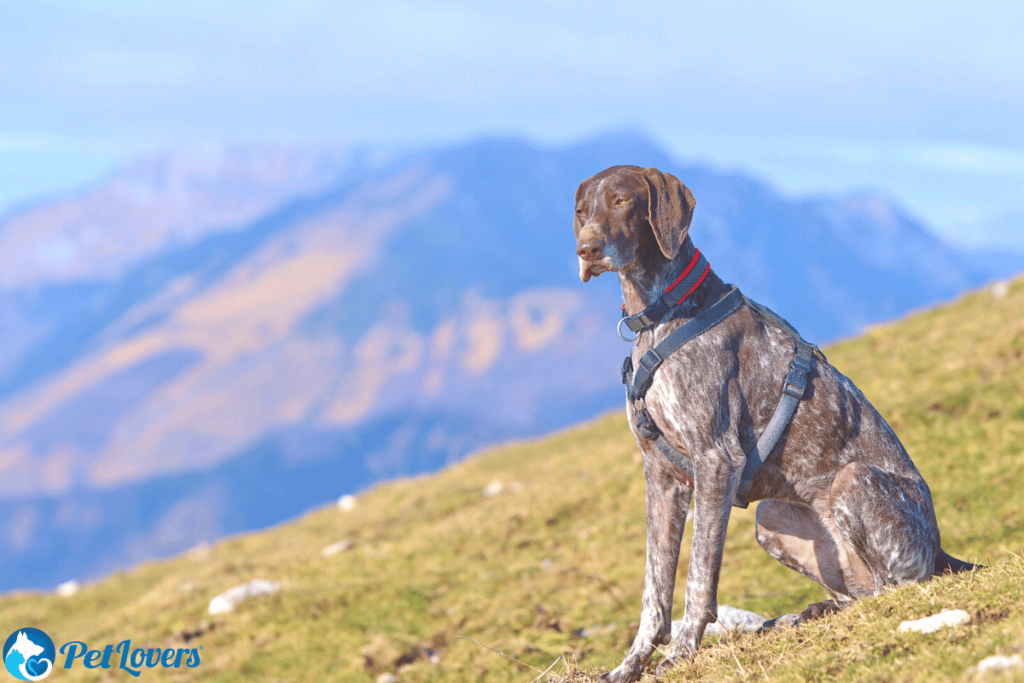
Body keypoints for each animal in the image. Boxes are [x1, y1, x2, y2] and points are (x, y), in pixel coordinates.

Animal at [573, 166, 978, 683]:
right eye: (582, 211)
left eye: (622, 200)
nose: (586, 249)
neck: (663, 314)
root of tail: (943, 550)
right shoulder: (661, 476)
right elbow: (654, 589)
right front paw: (629, 665)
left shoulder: (715, 461)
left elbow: (698, 577)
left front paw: (682, 652)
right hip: (772, 518)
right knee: (858, 593)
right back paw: (808, 612)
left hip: (852, 481)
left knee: (892, 589)